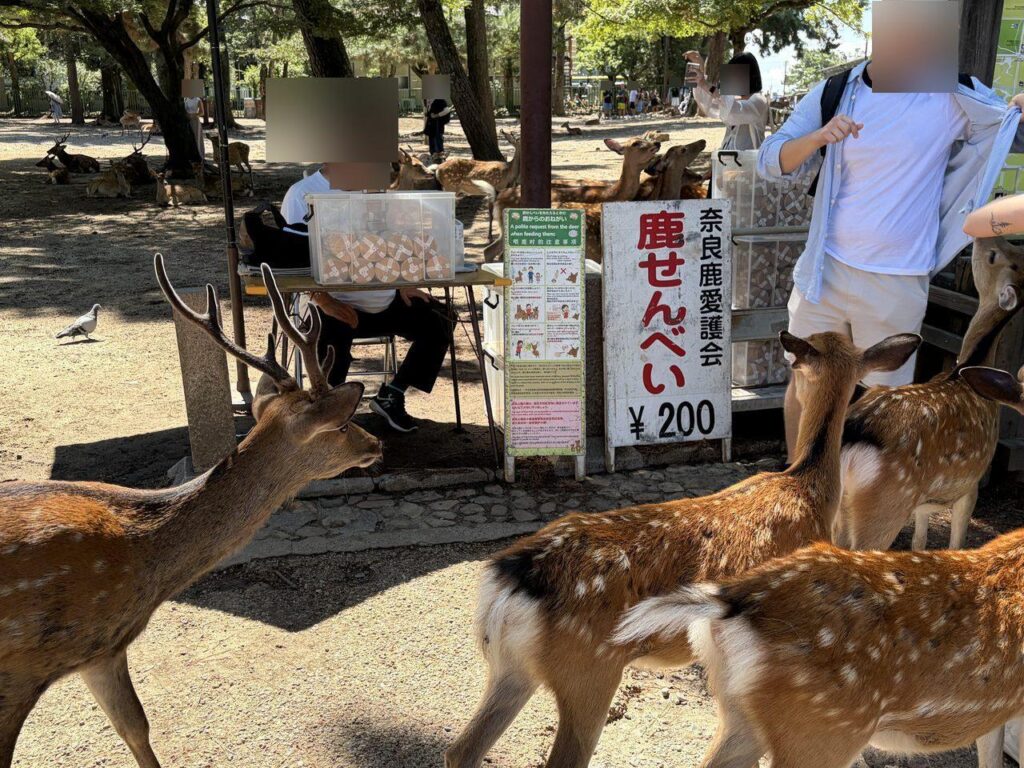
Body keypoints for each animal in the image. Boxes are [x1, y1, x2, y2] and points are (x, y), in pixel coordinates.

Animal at [0, 256, 382, 768]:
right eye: (342, 425)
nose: (376, 443)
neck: (145, 555)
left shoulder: (99, 652)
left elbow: (135, 727)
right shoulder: (26, 667)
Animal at [834, 237, 1024, 553]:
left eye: (994, 256)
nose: (979, 238)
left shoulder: (937, 501)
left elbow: (920, 542)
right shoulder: (971, 485)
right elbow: (956, 545)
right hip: (886, 505)